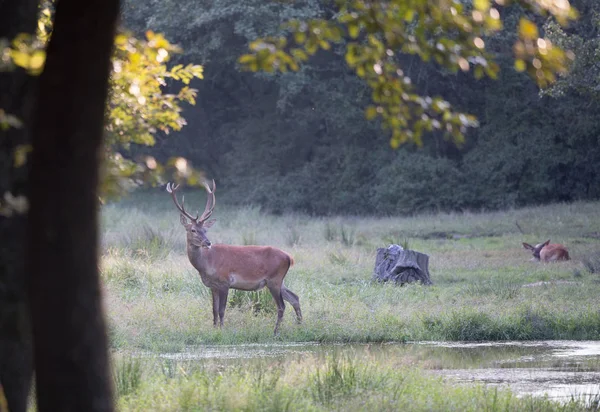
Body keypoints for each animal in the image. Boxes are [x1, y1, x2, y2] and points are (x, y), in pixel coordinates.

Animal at [166, 180, 302, 334]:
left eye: (205, 230)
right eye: (193, 230)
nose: (208, 242)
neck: (207, 264)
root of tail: (289, 257)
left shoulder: (225, 282)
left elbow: (221, 310)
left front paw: (222, 330)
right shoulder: (213, 286)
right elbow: (214, 310)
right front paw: (214, 329)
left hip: (274, 279)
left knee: (282, 306)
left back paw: (276, 332)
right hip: (279, 281)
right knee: (295, 298)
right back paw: (300, 326)